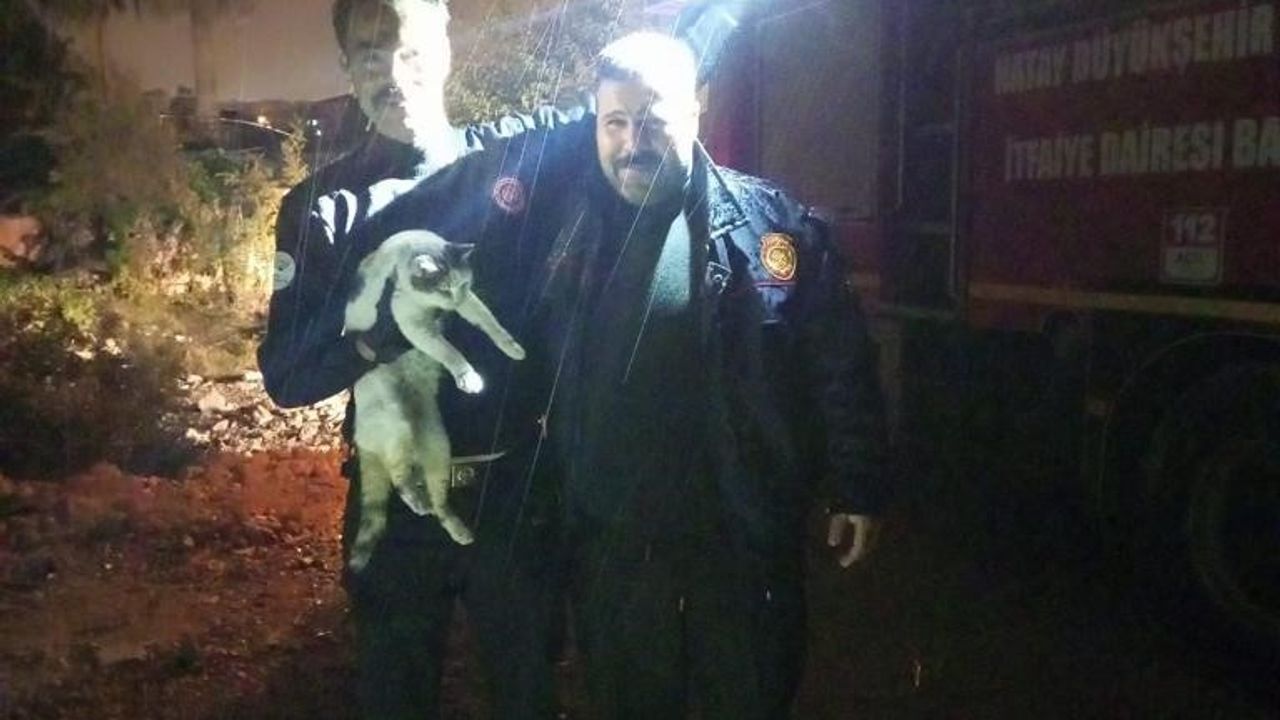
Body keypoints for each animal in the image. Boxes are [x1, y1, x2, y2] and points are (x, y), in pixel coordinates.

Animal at [343, 229, 526, 571]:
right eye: (442, 287)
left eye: (463, 285)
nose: (453, 301)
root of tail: (364, 441)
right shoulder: (411, 323)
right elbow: (448, 351)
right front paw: (468, 376)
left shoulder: (470, 302)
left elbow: (490, 323)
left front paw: (512, 348)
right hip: (395, 430)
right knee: (398, 477)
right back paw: (417, 501)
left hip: (438, 445)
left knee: (437, 497)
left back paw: (456, 528)